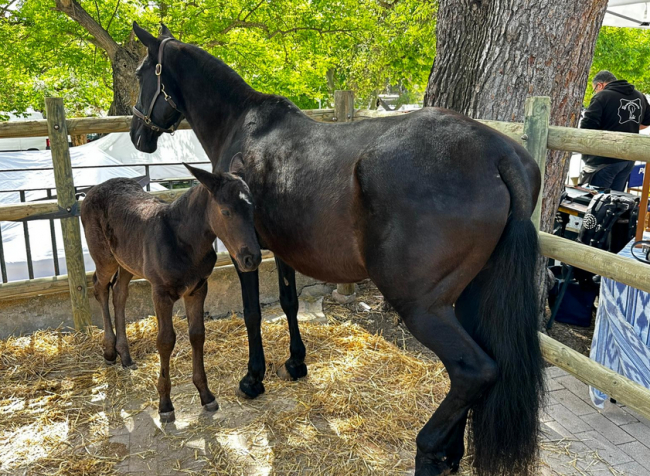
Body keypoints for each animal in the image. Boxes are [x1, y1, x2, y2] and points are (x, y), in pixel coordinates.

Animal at [80, 164, 261, 422]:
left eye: (252, 208)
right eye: (226, 211)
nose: (251, 258)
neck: (184, 241)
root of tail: (92, 190)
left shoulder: (198, 288)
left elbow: (197, 335)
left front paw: (206, 395)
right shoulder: (161, 293)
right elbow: (165, 341)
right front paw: (165, 404)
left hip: (127, 262)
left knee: (119, 293)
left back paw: (125, 355)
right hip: (105, 257)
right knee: (100, 287)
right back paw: (109, 350)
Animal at [129, 23, 544, 476]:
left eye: (140, 73)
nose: (136, 134)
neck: (245, 126)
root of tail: (500, 155)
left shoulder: (246, 255)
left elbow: (254, 313)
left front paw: (254, 378)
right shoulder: (283, 252)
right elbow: (289, 303)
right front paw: (296, 363)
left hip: (423, 307)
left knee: (474, 370)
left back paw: (430, 449)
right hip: (470, 296)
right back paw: (451, 453)